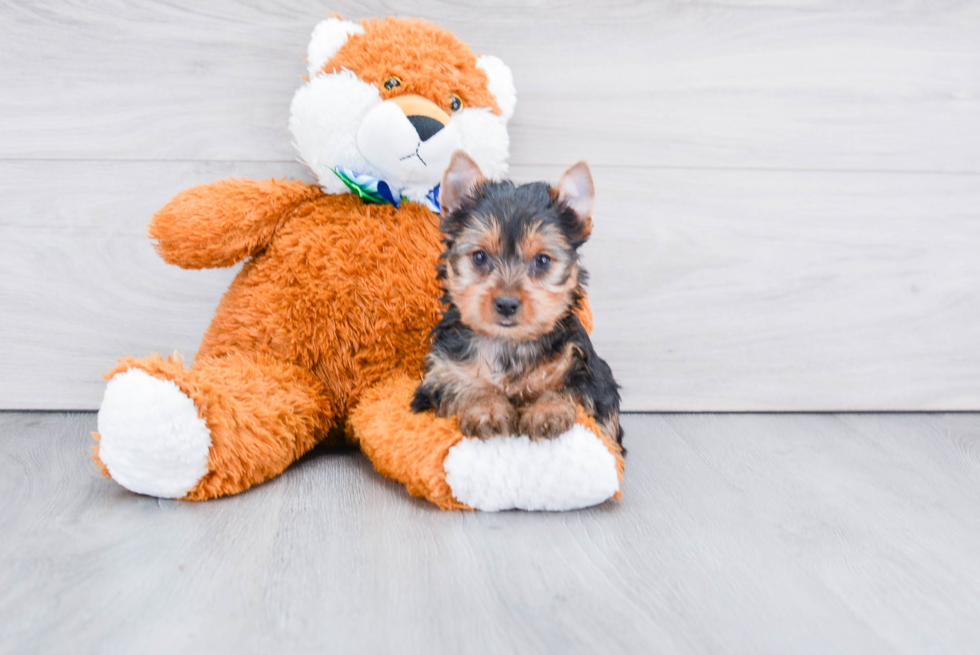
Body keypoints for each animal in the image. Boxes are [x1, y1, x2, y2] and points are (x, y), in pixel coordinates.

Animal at [412, 151, 624, 444]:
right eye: (480, 257)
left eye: (543, 260)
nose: (507, 304)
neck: (509, 345)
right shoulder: (441, 373)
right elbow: (461, 386)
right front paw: (487, 409)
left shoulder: (590, 373)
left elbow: (572, 389)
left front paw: (547, 411)